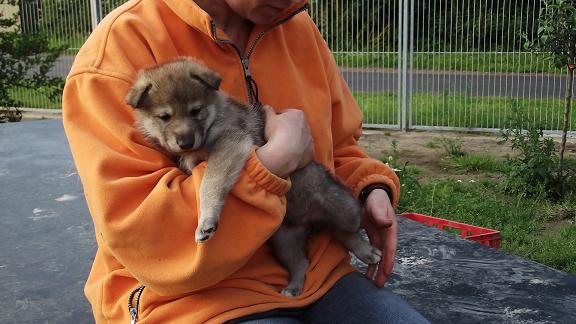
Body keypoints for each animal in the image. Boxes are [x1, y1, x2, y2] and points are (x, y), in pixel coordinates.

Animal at [124, 57, 380, 296]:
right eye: (164, 117)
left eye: (196, 111)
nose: (186, 142)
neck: (214, 117)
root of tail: (312, 222)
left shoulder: (229, 144)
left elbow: (210, 183)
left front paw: (206, 221)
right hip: (284, 240)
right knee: (303, 260)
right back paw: (293, 287)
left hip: (342, 206)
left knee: (348, 229)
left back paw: (368, 251)